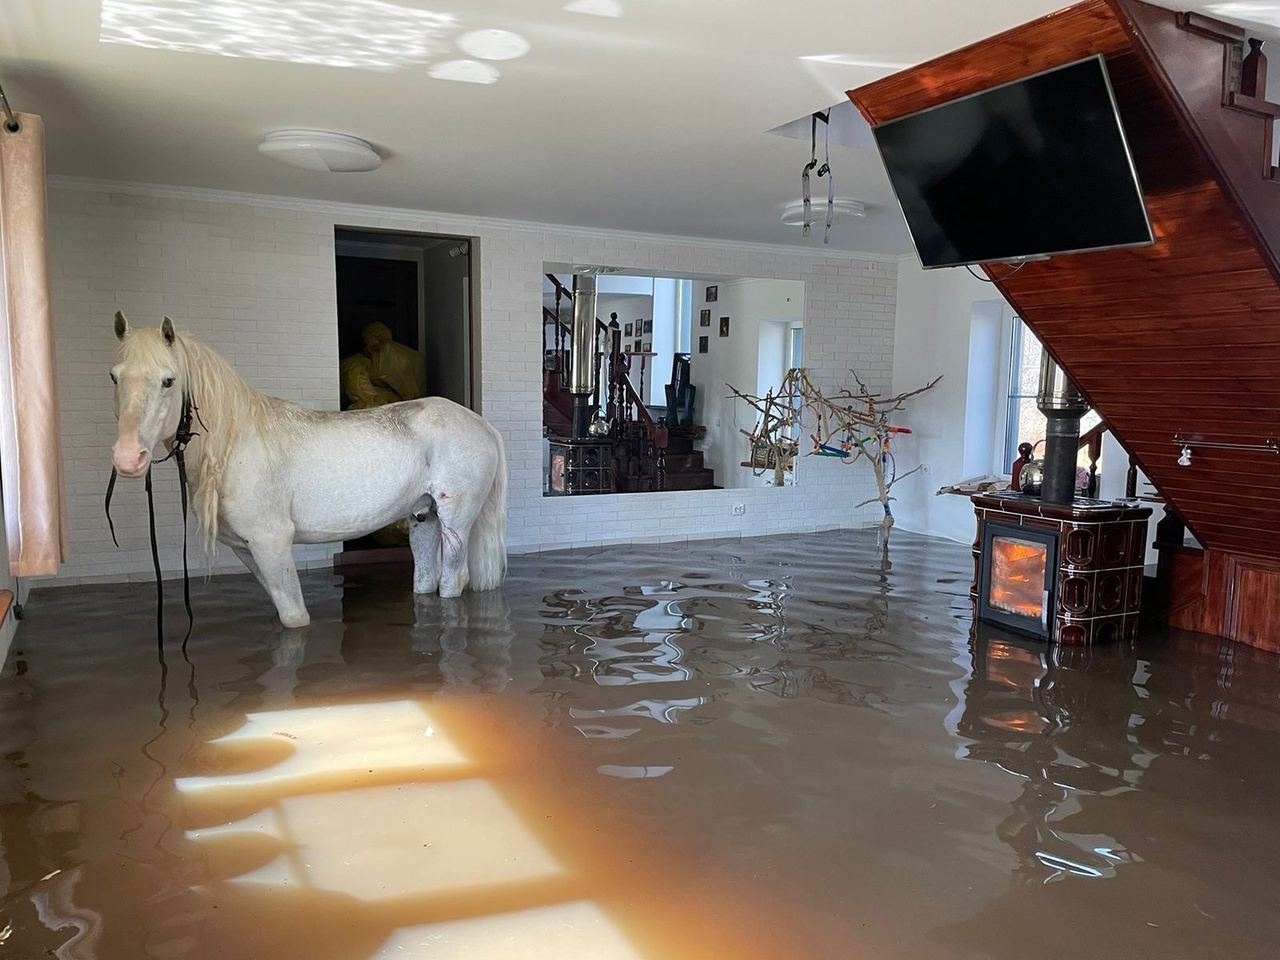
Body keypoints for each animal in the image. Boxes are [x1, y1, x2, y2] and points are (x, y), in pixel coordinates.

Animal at [108, 316, 509, 632]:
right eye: (114, 377)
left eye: (169, 381)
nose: (128, 458)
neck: (236, 443)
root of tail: (480, 423)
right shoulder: (247, 551)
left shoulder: (272, 543)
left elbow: (294, 618)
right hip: (423, 516)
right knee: (426, 577)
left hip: (455, 519)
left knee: (453, 578)